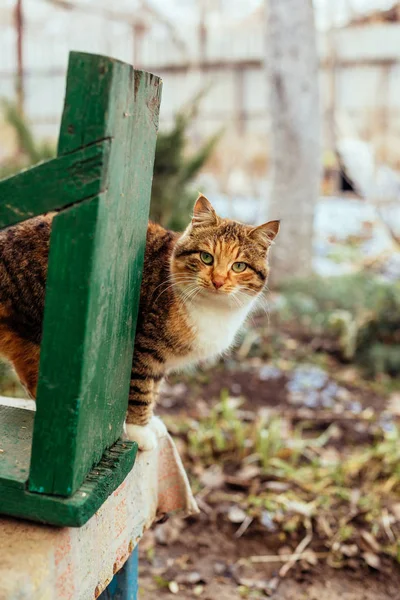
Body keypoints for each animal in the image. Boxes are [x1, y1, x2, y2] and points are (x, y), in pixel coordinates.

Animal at [0, 195, 278, 448]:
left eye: (239, 266)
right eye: (206, 257)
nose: (218, 281)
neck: (211, 308)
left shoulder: (160, 361)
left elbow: (153, 390)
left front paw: (150, 423)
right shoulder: (143, 349)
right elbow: (140, 391)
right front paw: (138, 432)